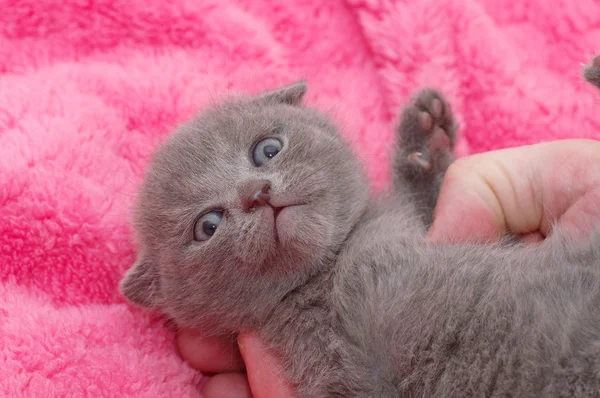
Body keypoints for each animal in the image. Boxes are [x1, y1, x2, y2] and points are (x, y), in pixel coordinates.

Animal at [120, 57, 600, 396]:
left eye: (267, 149)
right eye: (208, 225)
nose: (256, 193)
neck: (329, 276)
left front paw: (426, 141)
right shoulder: (345, 376)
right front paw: (427, 142)